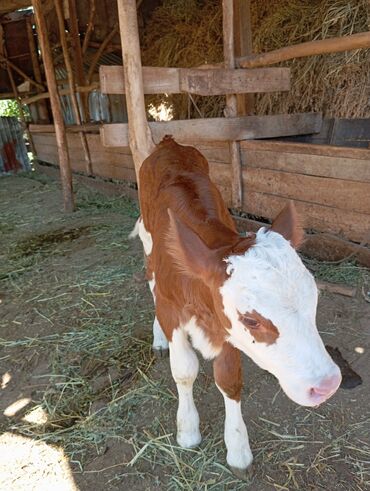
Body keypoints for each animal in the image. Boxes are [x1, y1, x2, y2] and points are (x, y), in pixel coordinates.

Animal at [132, 136, 342, 478]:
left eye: (314, 298)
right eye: (251, 320)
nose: (327, 385)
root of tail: (169, 142)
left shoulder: (224, 324)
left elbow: (229, 379)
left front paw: (238, 448)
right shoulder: (172, 308)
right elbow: (184, 370)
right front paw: (188, 429)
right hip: (149, 248)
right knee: (149, 279)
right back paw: (158, 336)